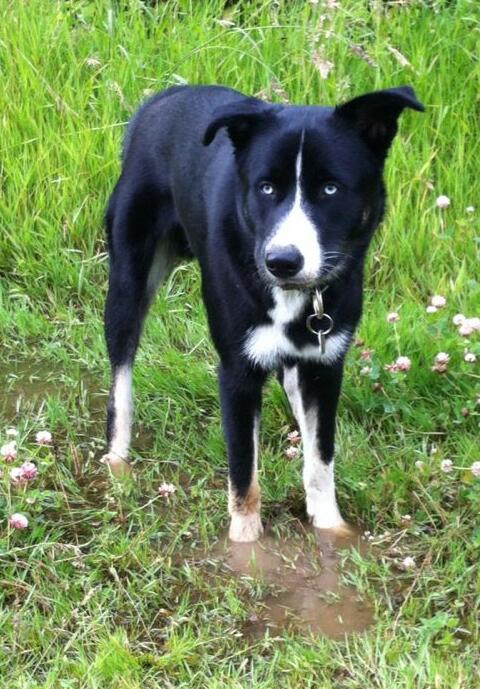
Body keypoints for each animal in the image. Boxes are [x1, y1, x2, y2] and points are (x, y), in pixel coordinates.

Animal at [102, 83, 424, 540]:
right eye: (266, 188)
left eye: (331, 189)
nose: (282, 261)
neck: (296, 295)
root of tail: (167, 94)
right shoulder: (237, 370)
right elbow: (244, 474)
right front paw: (245, 543)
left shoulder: (325, 366)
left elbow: (321, 459)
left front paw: (331, 531)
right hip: (129, 281)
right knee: (121, 377)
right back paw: (117, 460)